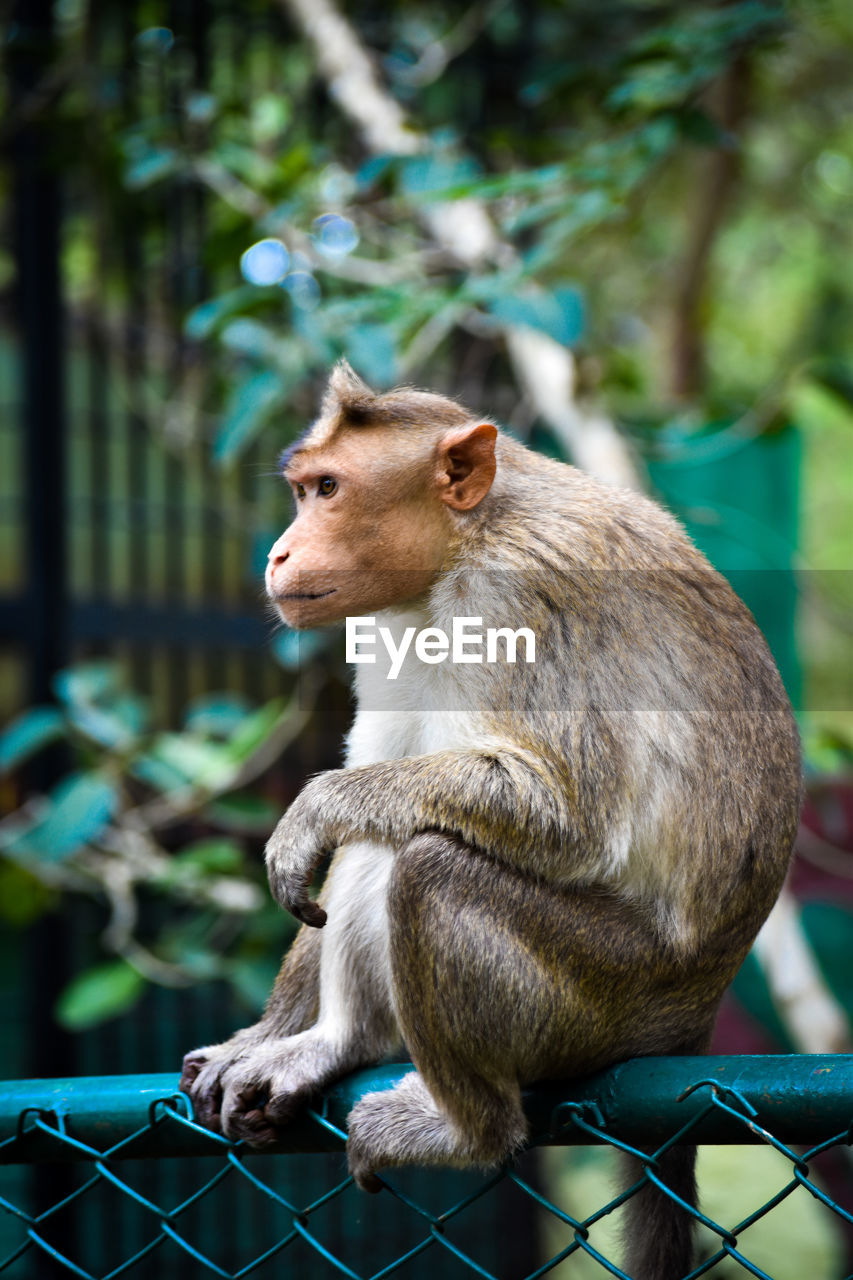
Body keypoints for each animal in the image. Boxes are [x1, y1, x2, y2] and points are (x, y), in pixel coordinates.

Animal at [179, 360, 799, 1280]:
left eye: (329, 490)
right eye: (302, 489)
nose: (279, 551)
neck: (461, 543)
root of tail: (692, 1016)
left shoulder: (516, 590)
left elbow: (566, 813)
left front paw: (308, 813)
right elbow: (379, 771)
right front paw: (266, 1030)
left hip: (603, 999)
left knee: (430, 866)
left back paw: (467, 1132)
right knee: (394, 832)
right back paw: (337, 1041)